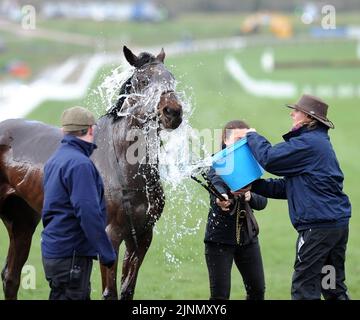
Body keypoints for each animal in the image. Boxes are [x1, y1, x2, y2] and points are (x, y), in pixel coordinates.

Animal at [0, 45, 183, 300]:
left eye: (170, 79)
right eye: (144, 80)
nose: (173, 111)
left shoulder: (142, 236)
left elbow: (127, 290)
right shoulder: (110, 235)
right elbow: (110, 292)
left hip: (22, 219)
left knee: (11, 275)